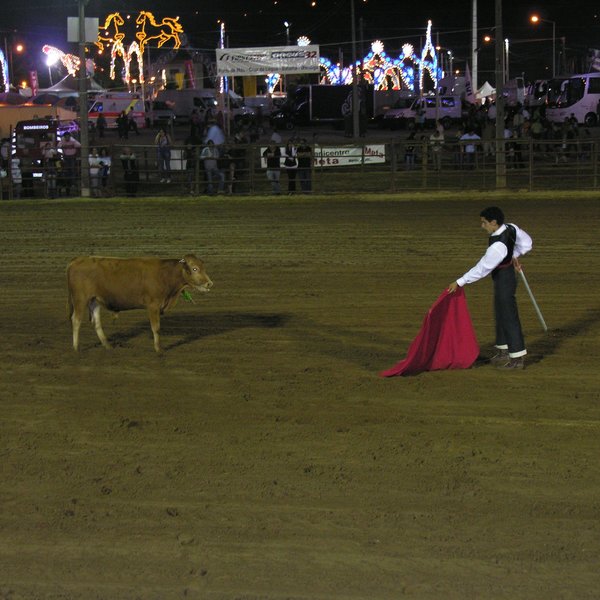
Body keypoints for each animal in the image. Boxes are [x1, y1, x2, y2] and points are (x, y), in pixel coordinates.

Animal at [67, 253, 213, 352]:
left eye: (203, 267)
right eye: (194, 268)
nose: (209, 283)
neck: (165, 275)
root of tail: (77, 260)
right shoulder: (153, 305)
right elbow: (156, 328)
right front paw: (159, 349)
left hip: (94, 300)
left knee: (96, 322)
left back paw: (108, 345)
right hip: (80, 298)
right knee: (76, 320)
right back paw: (76, 348)